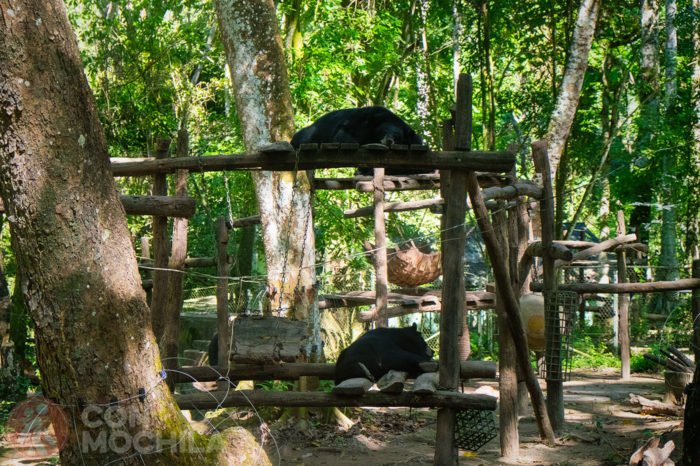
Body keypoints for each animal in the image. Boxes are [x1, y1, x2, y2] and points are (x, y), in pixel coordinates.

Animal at [292, 106, 426, 176]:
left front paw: (365, 171)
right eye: (384, 131)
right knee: (304, 136)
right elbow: (343, 133)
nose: (389, 141)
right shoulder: (361, 121)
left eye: (397, 137)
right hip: (314, 132)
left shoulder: (413, 141)